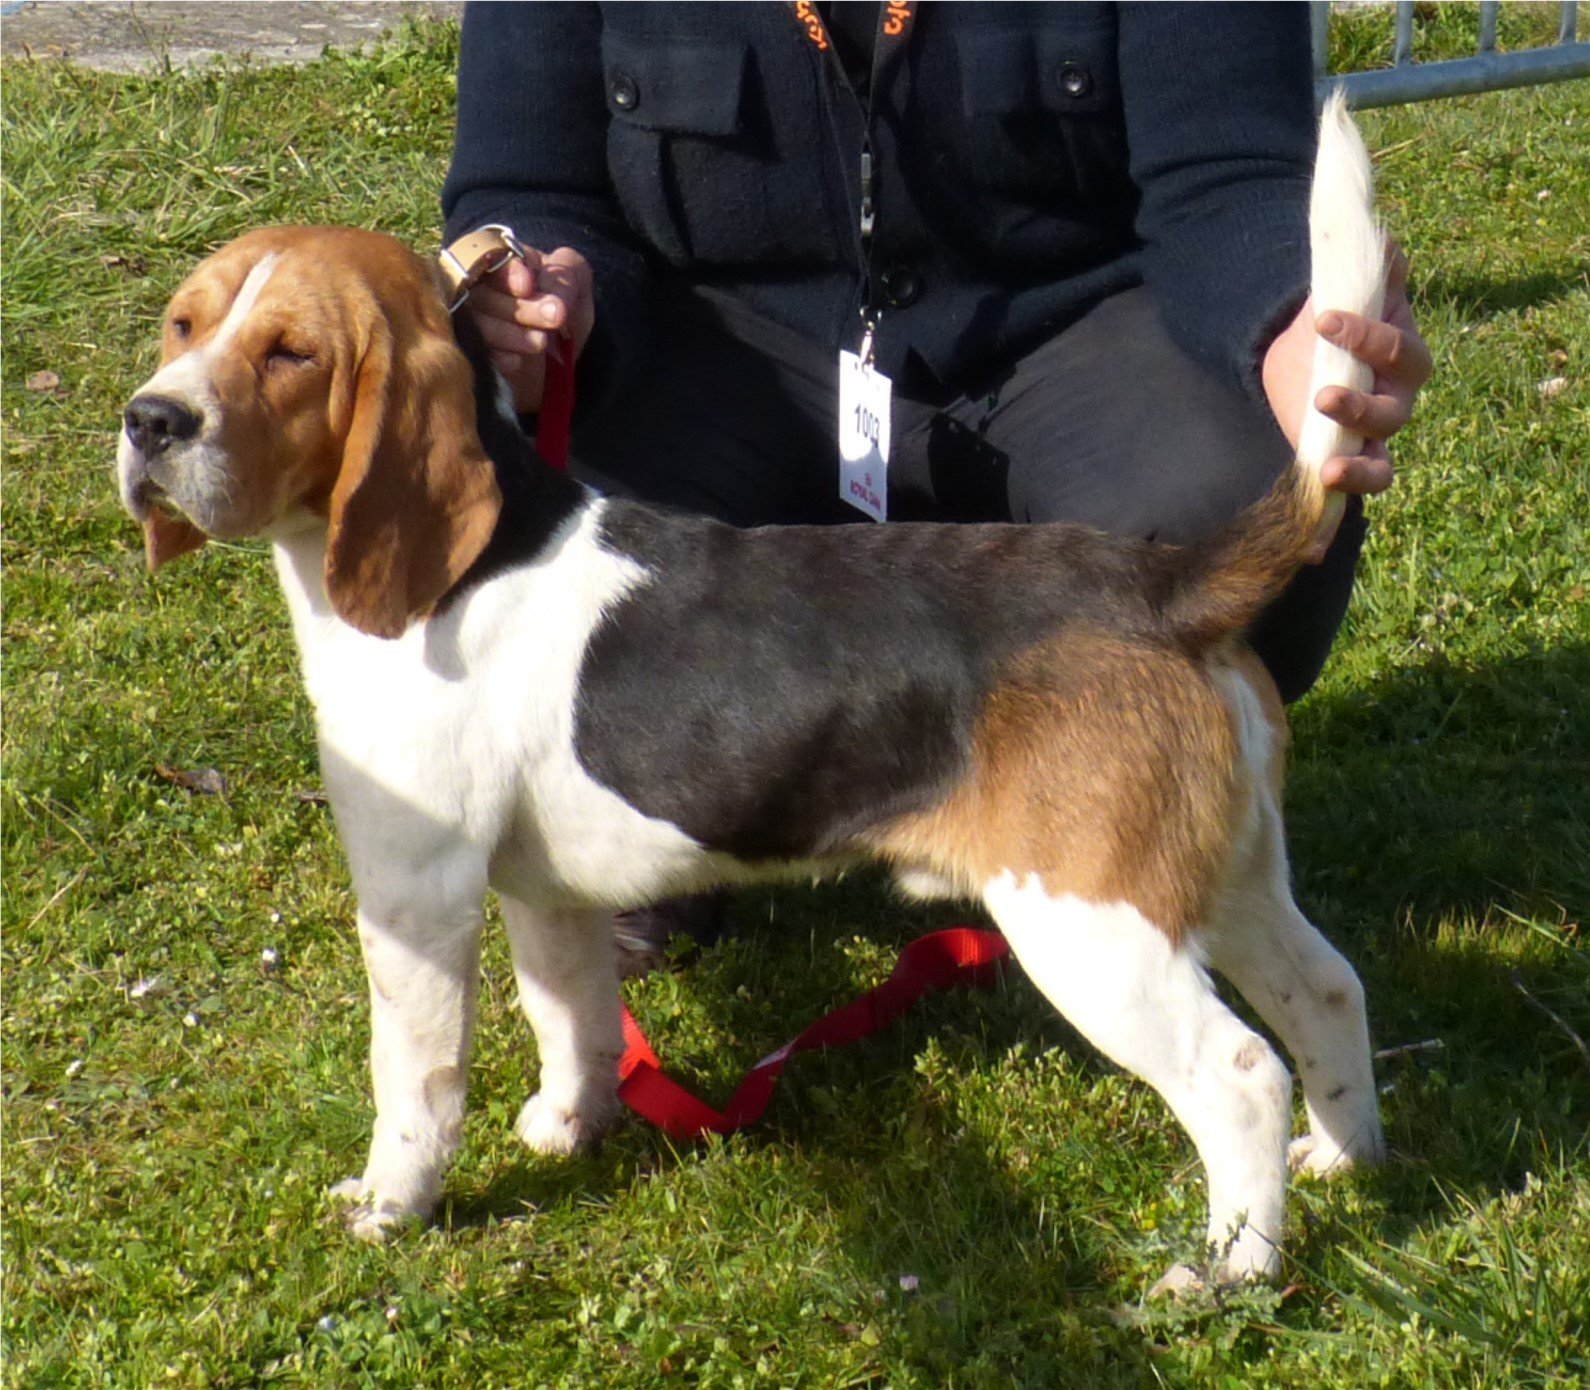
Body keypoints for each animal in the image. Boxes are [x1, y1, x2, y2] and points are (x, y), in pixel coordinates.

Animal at [120, 97, 1392, 1285]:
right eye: (186, 323)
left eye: (292, 353)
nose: (151, 421)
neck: (469, 562)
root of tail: (1162, 584)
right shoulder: (545, 892)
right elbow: (570, 1016)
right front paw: (570, 1129)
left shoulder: (415, 891)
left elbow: (417, 1076)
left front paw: (392, 1204)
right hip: (1226, 878)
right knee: (1328, 991)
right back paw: (1344, 1160)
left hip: (1095, 927)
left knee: (1240, 1072)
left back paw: (1232, 1269)